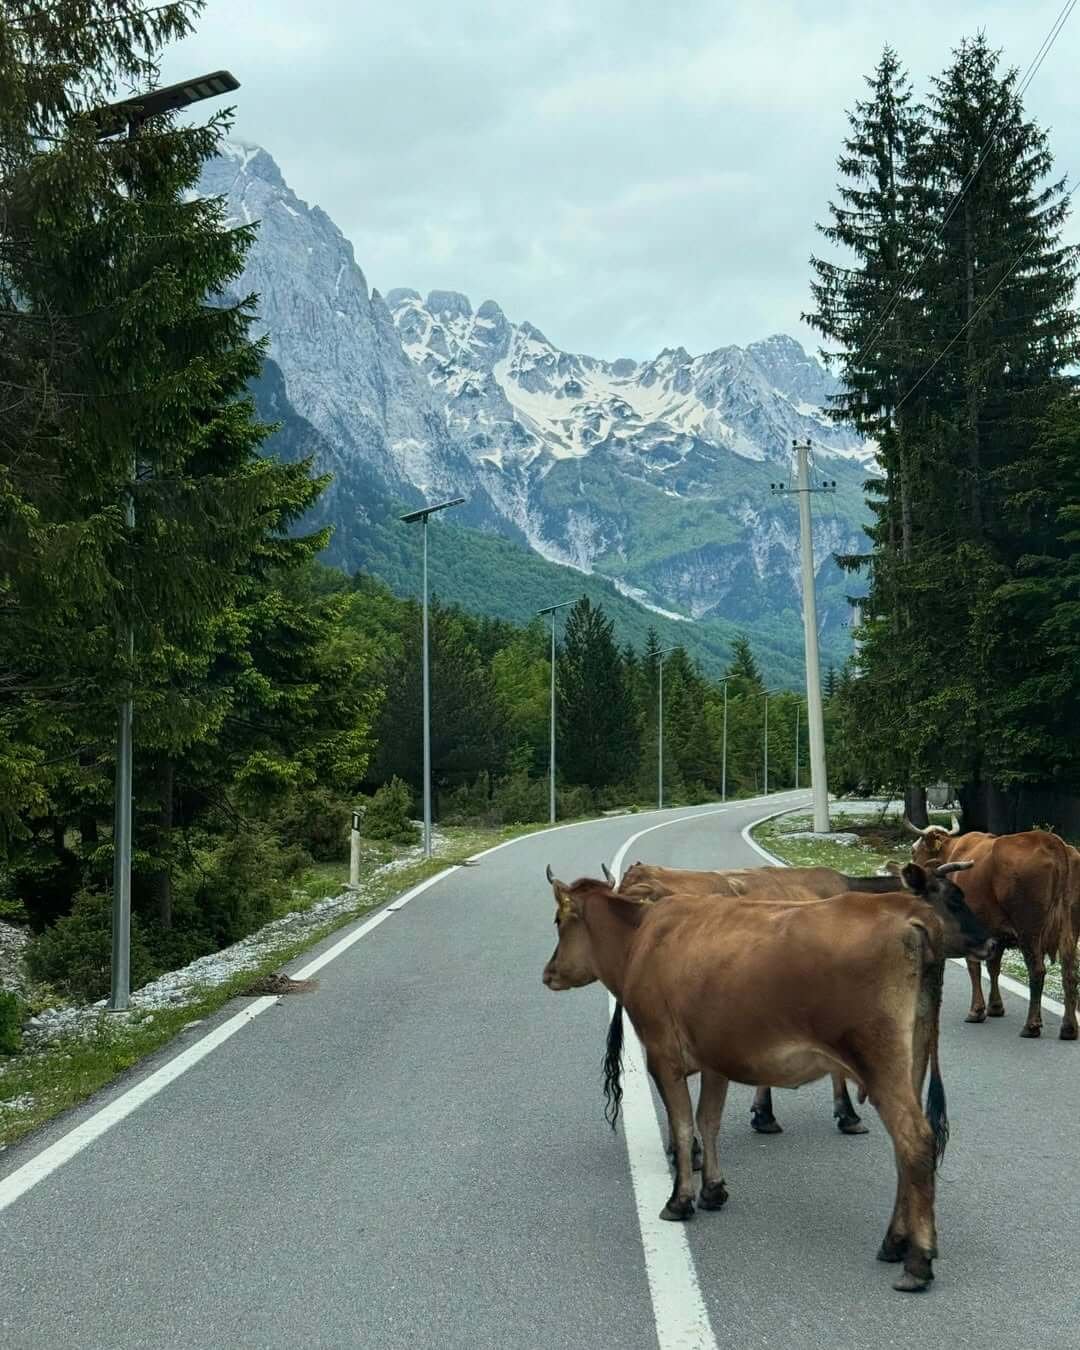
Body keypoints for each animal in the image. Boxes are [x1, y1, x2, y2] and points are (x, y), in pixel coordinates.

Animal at [906, 818, 1079, 1040]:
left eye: (914, 850)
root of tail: (1051, 841)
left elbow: (974, 967)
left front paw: (976, 1010)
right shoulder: (997, 931)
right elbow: (993, 967)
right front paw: (995, 1007)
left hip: (1029, 930)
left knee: (1037, 971)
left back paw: (1031, 1025)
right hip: (1070, 929)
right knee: (1070, 972)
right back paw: (1069, 1027)